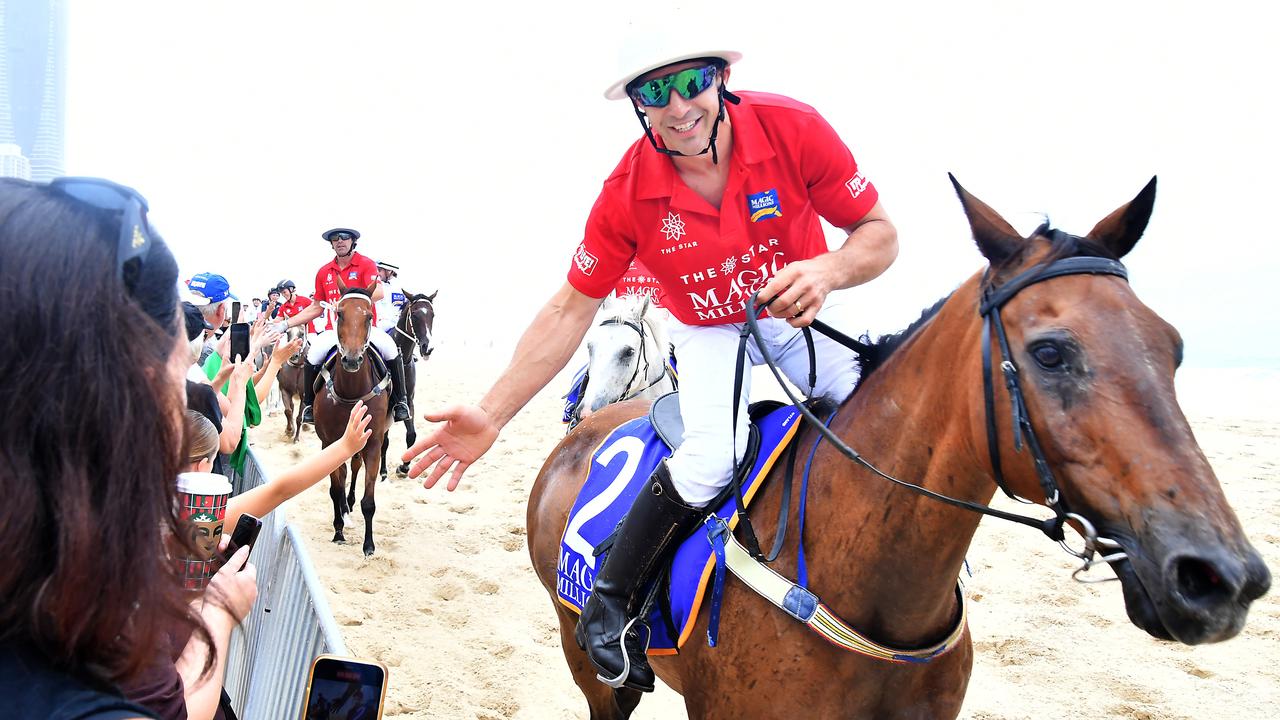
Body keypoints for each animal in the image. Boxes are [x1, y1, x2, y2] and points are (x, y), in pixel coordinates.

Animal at [313, 280, 389, 556]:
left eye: (368, 316)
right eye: (340, 313)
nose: (352, 359)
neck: (351, 393)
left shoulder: (374, 443)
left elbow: (369, 501)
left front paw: (369, 545)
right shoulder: (329, 443)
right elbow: (335, 489)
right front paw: (338, 531)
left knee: (354, 468)